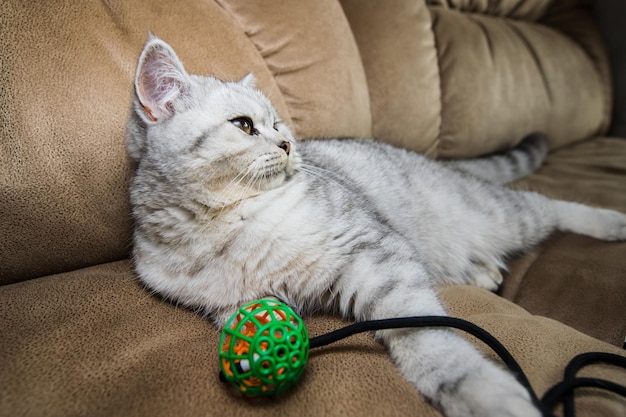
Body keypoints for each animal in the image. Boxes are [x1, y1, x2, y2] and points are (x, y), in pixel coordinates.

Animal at [125, 35, 624, 416]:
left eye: (278, 124)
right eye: (244, 125)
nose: (288, 144)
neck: (226, 224)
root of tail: (443, 164)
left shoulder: (373, 253)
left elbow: (426, 336)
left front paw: (478, 391)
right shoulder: (230, 305)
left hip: (497, 213)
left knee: (547, 205)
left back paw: (610, 222)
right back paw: (484, 272)